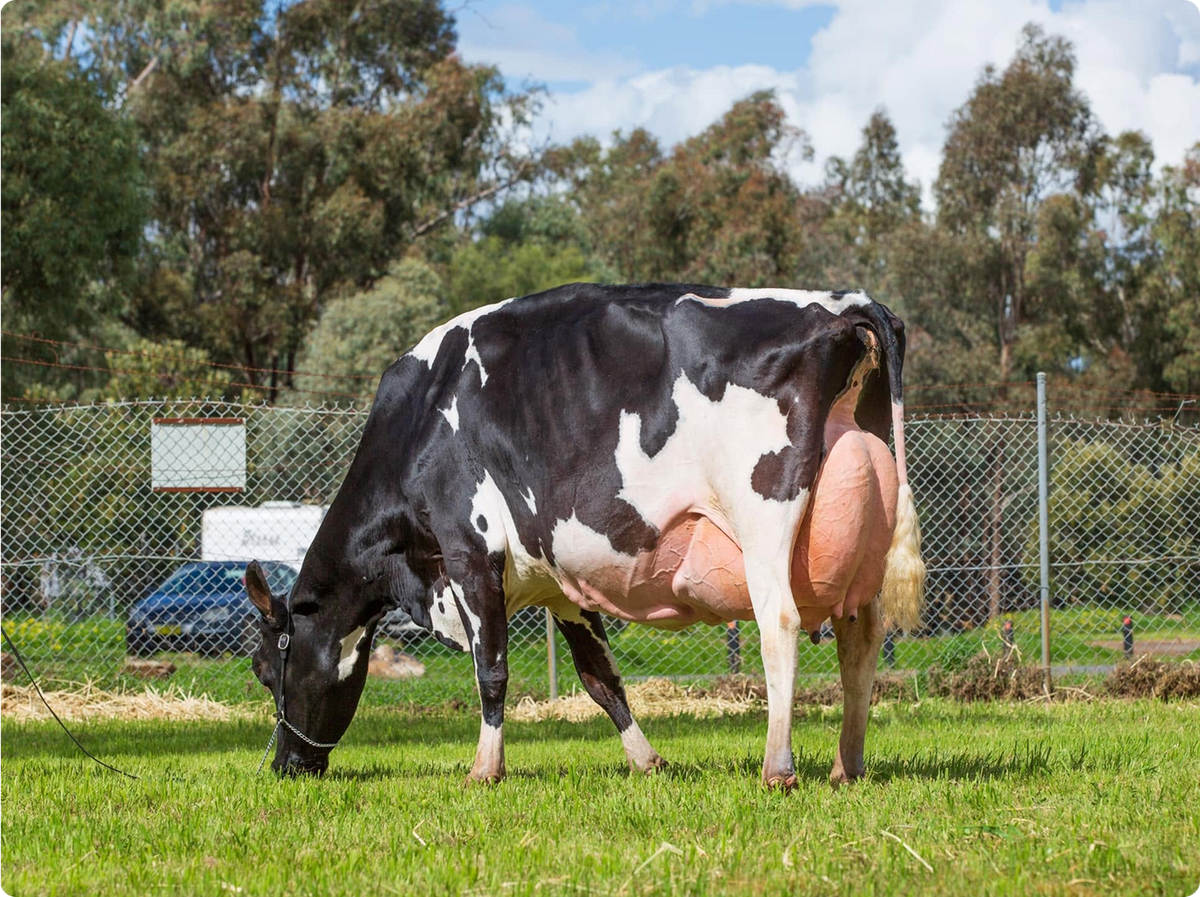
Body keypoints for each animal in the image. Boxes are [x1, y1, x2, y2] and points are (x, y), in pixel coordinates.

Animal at [245, 282, 925, 790]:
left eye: (262, 669)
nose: (282, 766)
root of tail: (841, 305)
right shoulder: (559, 586)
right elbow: (601, 677)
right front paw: (649, 762)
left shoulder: (470, 552)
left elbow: (491, 670)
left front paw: (484, 770)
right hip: (862, 544)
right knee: (862, 638)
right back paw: (846, 766)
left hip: (763, 517)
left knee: (778, 624)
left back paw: (778, 767)